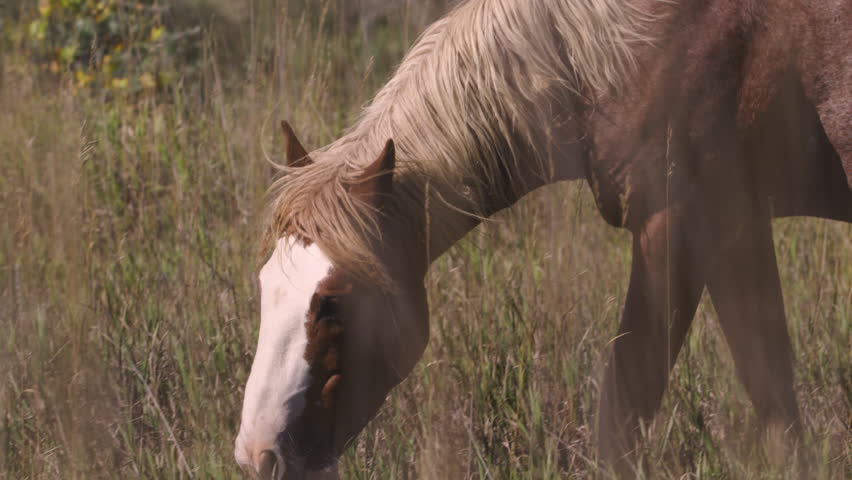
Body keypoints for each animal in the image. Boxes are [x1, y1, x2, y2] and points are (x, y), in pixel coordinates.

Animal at [233, 0, 851, 477]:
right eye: (264, 287)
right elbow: (775, 398)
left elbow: (625, 412)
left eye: (332, 302)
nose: (258, 454)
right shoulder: (735, 228)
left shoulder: (680, 226)